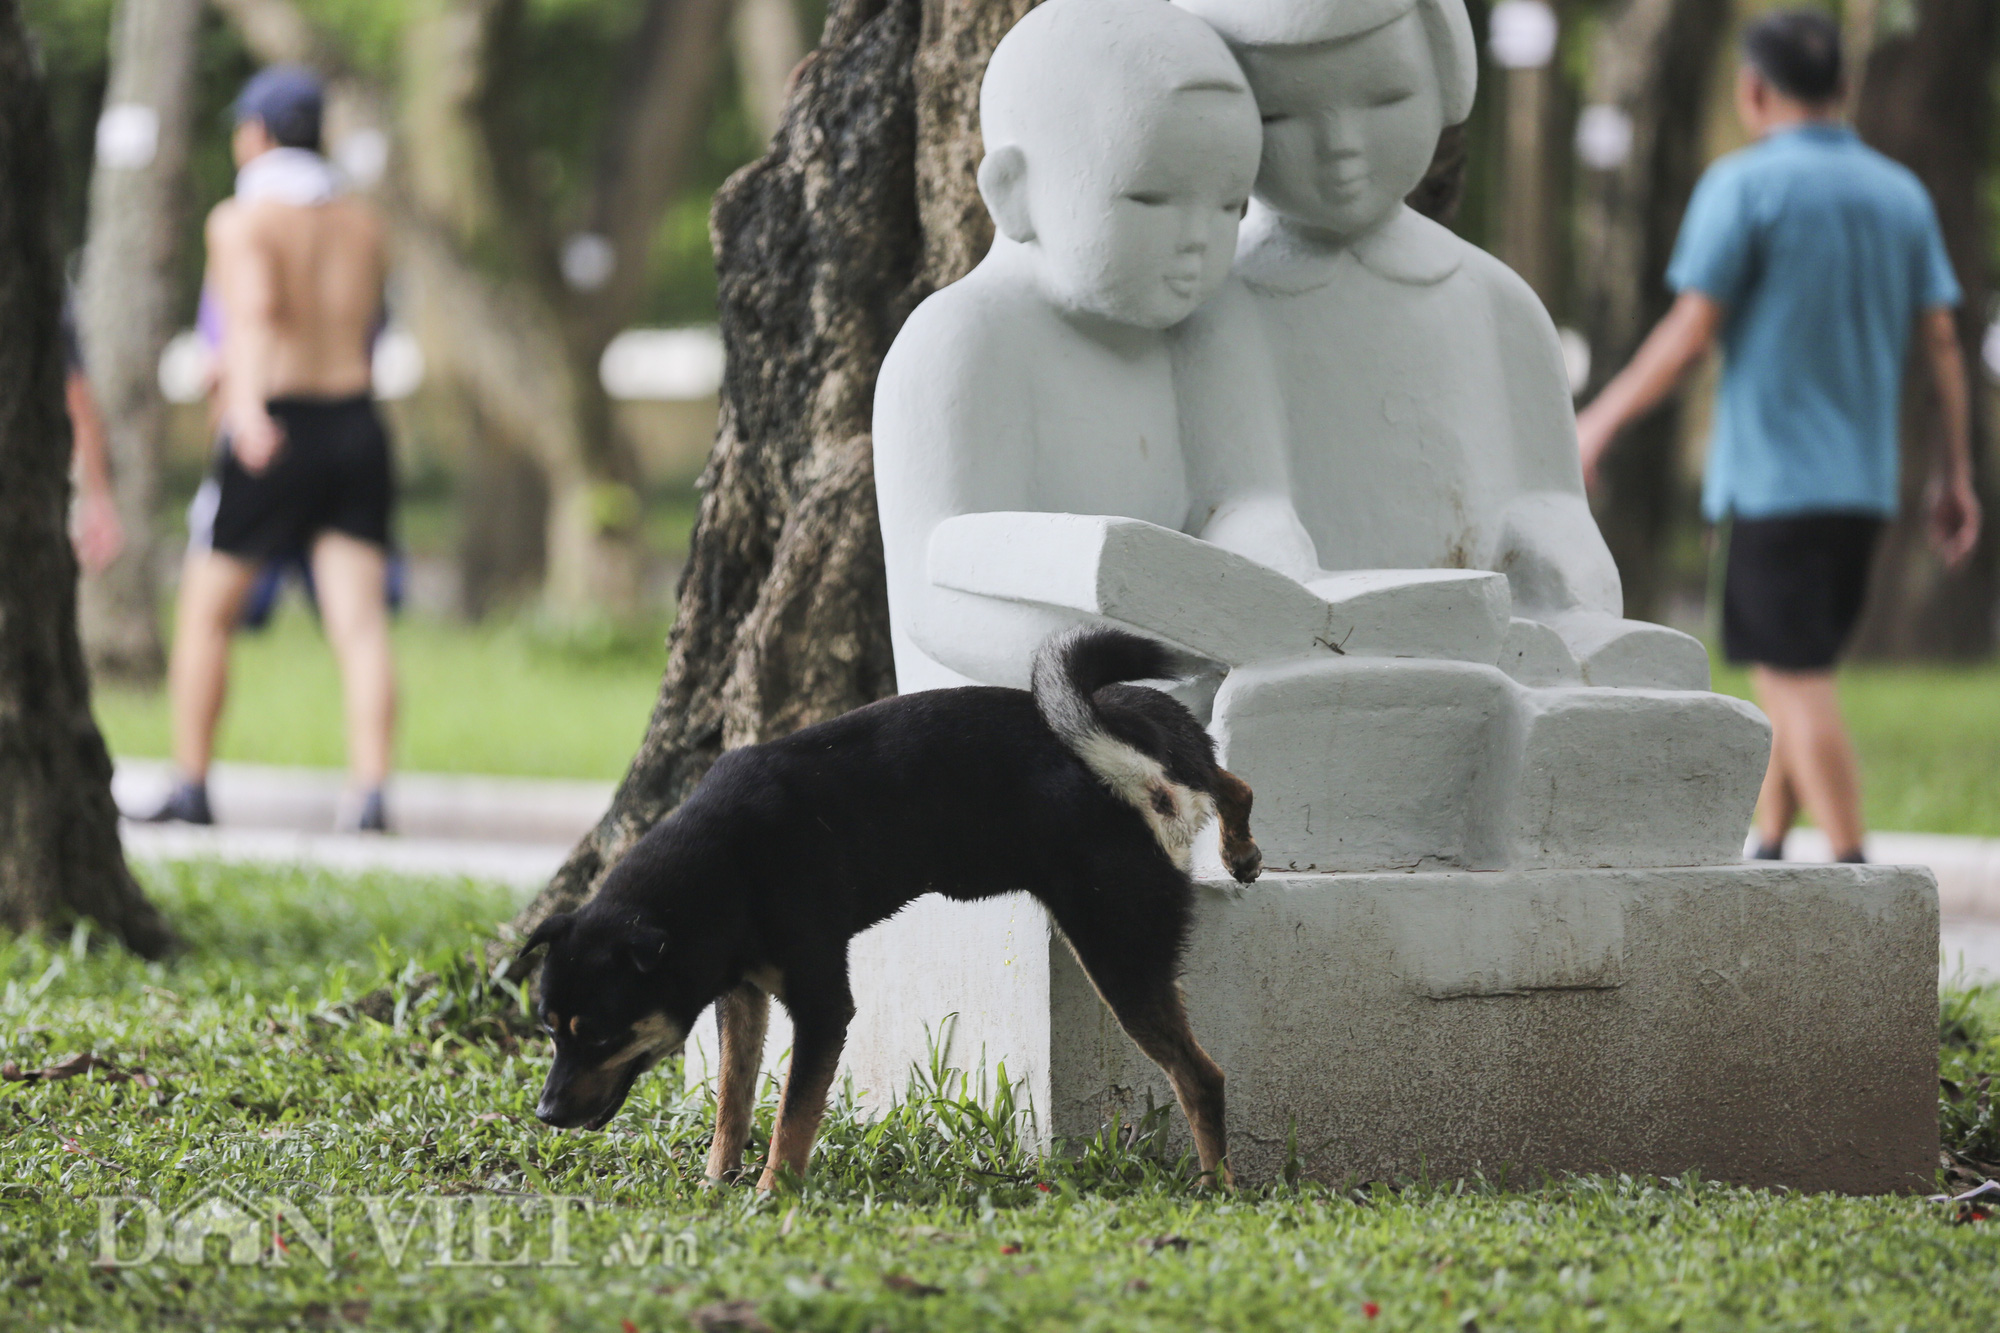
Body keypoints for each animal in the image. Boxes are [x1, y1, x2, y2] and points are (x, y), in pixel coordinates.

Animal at [520, 624, 1264, 1184]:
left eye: (600, 1033)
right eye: (550, 1029)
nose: (547, 1113)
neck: (722, 867)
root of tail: (1137, 782)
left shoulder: (823, 1009)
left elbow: (792, 1114)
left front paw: (771, 1192)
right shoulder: (743, 997)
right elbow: (734, 1099)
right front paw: (716, 1181)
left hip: (1120, 955)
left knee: (1202, 1077)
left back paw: (1217, 1186)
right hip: (1148, 736)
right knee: (1229, 777)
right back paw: (1240, 850)